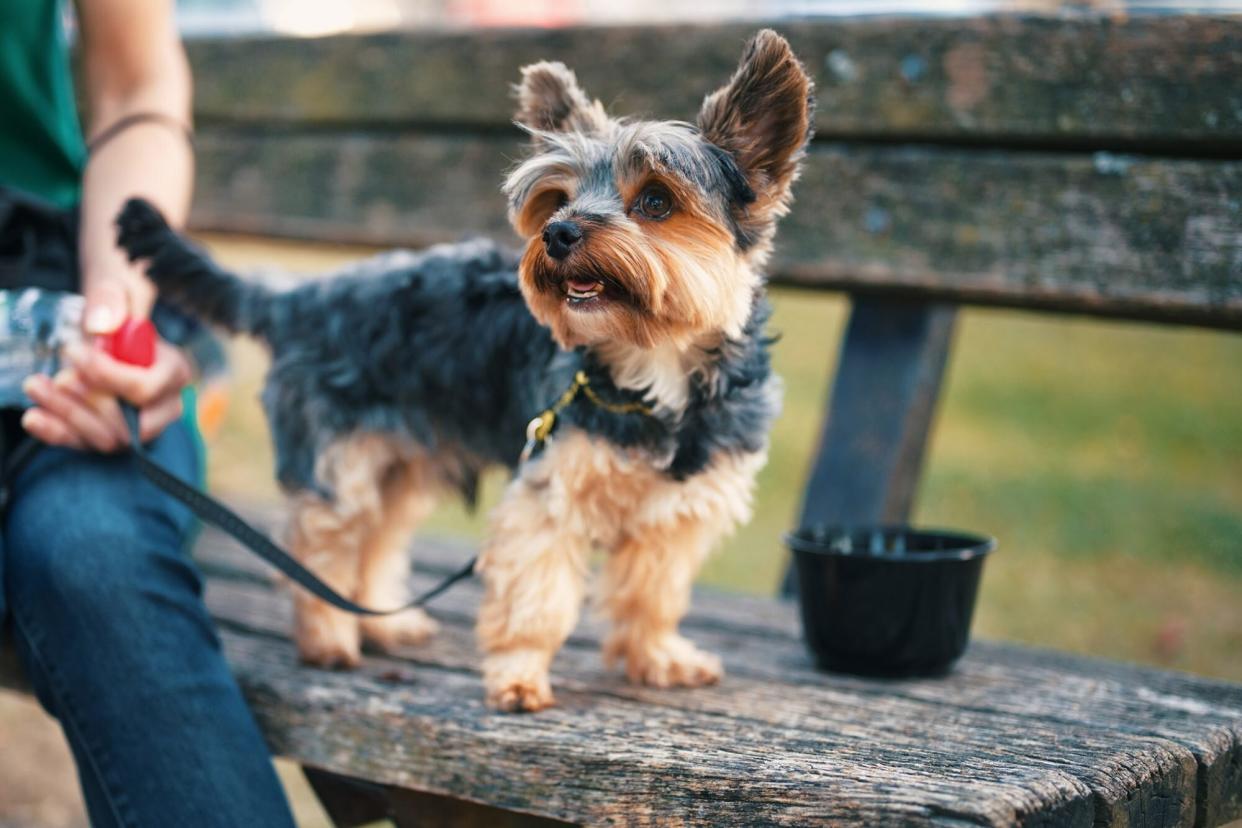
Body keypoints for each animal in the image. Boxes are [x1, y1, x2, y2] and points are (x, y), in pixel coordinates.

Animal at [116, 29, 814, 710]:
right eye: (557, 199)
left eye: (656, 201)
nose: (558, 233)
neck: (651, 365)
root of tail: (298, 297)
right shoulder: (549, 492)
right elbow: (536, 595)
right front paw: (520, 677)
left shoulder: (680, 509)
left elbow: (654, 591)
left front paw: (658, 657)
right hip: (338, 461)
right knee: (323, 545)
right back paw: (329, 640)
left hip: (401, 462)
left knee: (377, 540)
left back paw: (387, 622)